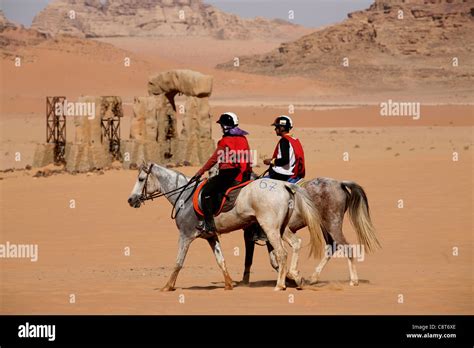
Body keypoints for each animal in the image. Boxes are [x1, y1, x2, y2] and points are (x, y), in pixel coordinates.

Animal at [127, 163, 326, 290]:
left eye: (141, 178)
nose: (130, 199)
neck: (184, 197)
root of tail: (284, 185)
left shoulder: (185, 235)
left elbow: (178, 262)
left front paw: (167, 286)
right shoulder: (211, 236)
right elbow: (220, 260)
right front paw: (229, 284)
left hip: (270, 229)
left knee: (282, 253)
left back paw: (280, 284)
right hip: (282, 228)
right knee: (296, 244)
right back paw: (296, 277)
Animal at [243, 178, 380, 286]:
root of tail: (340, 183)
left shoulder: (270, 233)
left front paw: (291, 277)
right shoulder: (268, 237)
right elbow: (274, 260)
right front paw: (289, 277)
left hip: (333, 225)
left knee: (347, 248)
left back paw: (354, 281)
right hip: (325, 226)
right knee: (331, 246)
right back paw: (314, 278)